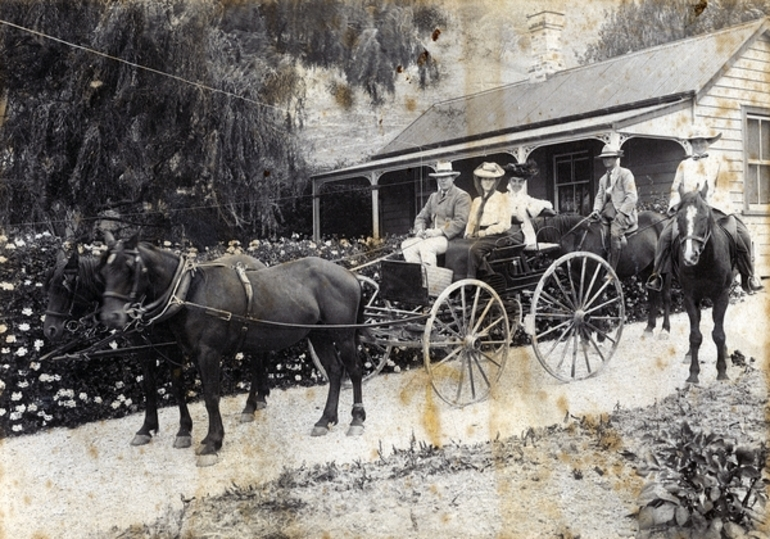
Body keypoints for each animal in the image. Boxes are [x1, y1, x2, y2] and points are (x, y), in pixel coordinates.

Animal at [42, 247, 270, 450]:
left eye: (65, 287)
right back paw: (259, 398)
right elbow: (149, 386)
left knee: (257, 362)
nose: (50, 330)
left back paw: (251, 404)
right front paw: (147, 428)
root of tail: (257, 263)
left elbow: (177, 387)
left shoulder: (172, 348)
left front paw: (184, 430)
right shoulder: (143, 348)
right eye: (49, 287)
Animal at [96, 234, 364, 466]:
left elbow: (211, 396)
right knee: (335, 371)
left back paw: (357, 419)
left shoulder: (208, 353)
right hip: (318, 335)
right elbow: (174, 388)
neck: (189, 292)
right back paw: (325, 419)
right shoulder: (183, 352)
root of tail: (349, 274)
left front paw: (212, 442)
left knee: (354, 371)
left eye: (129, 267)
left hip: (343, 335)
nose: (111, 317)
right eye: (103, 270)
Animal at [532, 210, 668, 334]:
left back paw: (665, 329)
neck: (579, 238)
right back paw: (650, 327)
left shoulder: (595, 279)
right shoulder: (579, 281)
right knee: (653, 295)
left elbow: (596, 307)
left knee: (665, 296)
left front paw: (599, 337)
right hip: (646, 270)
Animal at [668, 186, 728, 384]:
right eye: (679, 218)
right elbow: (695, 336)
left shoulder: (722, 296)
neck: (705, 263)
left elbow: (718, 334)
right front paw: (693, 374)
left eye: (704, 216)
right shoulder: (690, 298)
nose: (689, 255)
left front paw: (722, 371)